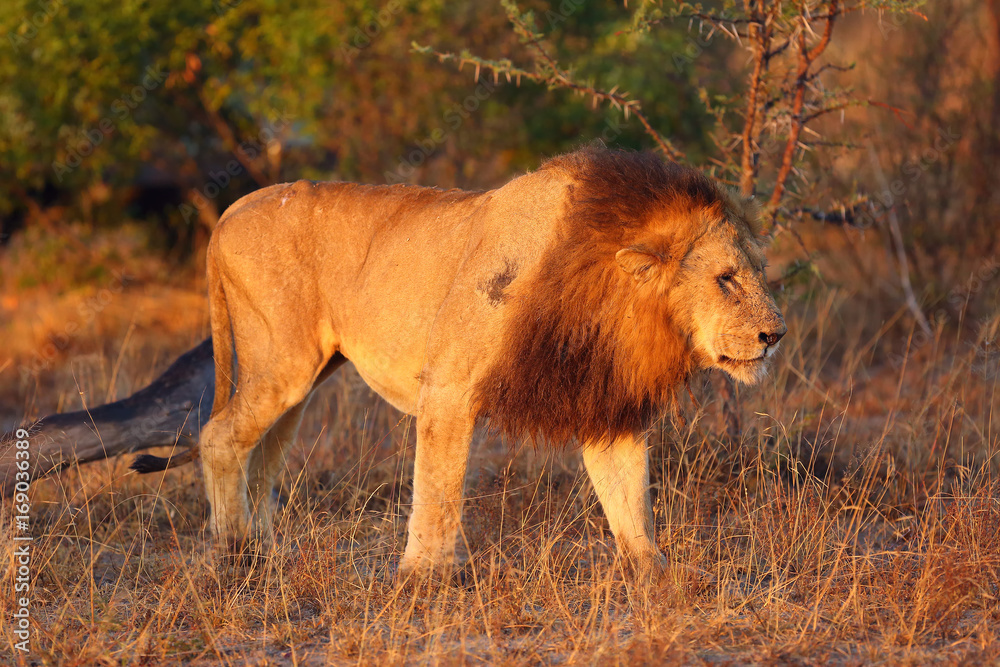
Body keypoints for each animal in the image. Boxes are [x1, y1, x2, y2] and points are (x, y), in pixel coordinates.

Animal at [133, 147, 786, 580]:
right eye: (726, 279)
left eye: (759, 272)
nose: (775, 335)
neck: (612, 297)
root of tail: (229, 211)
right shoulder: (448, 388)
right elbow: (438, 488)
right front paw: (422, 579)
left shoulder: (605, 403)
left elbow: (629, 497)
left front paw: (656, 576)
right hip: (282, 363)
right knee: (219, 437)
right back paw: (234, 553)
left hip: (303, 379)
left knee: (263, 455)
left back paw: (267, 552)